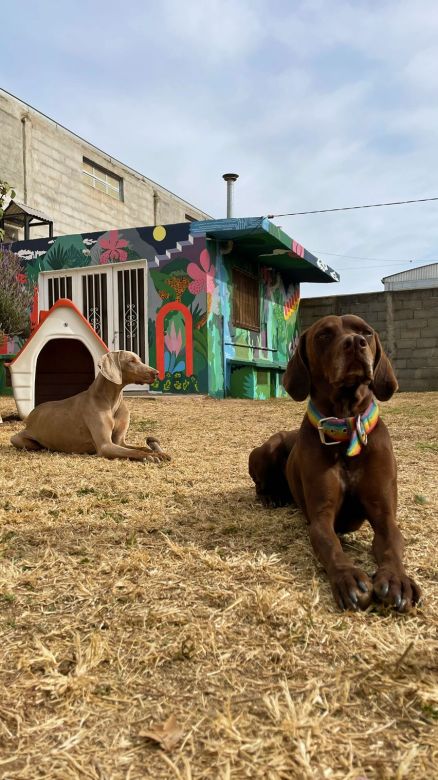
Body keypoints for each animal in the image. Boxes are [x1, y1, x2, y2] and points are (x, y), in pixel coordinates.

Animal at [12, 350, 169, 460]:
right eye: (131, 361)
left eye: (140, 360)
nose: (157, 373)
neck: (111, 400)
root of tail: (31, 414)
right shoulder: (106, 445)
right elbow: (135, 451)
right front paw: (153, 456)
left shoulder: (119, 442)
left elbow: (142, 447)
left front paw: (158, 452)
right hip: (18, 439)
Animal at [248, 314, 420, 612]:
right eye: (324, 335)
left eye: (366, 332)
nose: (355, 343)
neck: (346, 428)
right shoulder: (321, 517)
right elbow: (331, 545)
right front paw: (349, 576)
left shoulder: (384, 515)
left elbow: (391, 545)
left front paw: (397, 579)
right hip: (266, 449)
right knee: (260, 483)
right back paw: (271, 496)